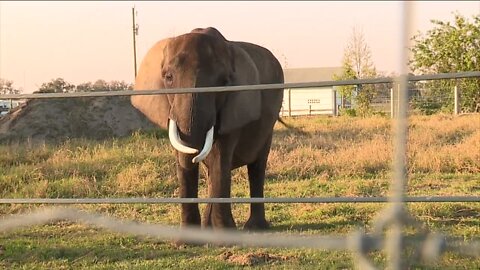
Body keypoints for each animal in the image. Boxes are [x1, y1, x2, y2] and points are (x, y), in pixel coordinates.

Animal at [129, 26, 284, 230]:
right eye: (168, 77)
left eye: (224, 82)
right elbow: (184, 158)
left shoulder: (233, 110)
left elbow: (219, 158)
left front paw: (224, 234)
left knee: (256, 166)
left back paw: (255, 228)